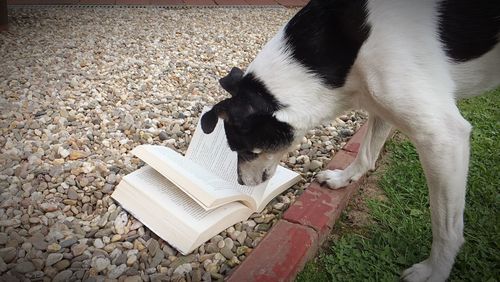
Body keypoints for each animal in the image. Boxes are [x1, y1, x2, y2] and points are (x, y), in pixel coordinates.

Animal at [199, 1, 500, 280]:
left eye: (244, 150)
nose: (240, 183)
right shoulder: (381, 105)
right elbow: (366, 153)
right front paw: (343, 179)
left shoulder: (443, 137)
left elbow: (445, 225)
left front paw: (435, 271)